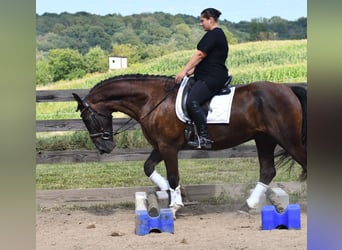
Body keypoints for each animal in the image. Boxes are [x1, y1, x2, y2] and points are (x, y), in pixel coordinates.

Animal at [73, 73, 308, 217]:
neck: (152, 100)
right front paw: (179, 194)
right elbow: (149, 168)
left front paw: (175, 205)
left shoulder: (168, 147)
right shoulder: (160, 146)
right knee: (267, 171)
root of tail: (288, 90)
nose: (104, 148)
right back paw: (246, 206)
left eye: (87, 118)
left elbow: (173, 176)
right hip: (264, 139)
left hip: (288, 139)